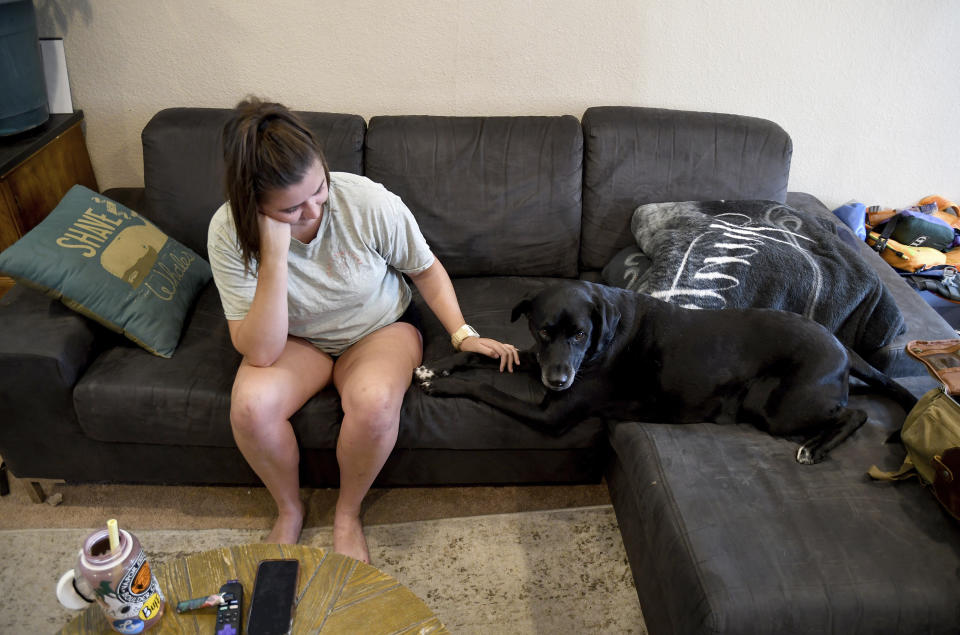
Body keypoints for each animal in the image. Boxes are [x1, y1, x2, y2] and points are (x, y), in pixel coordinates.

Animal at [414, 280, 916, 464]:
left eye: (580, 334)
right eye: (543, 330)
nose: (557, 382)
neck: (605, 337)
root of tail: (840, 344)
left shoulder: (550, 414)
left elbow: (488, 390)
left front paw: (448, 387)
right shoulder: (539, 359)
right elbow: (490, 355)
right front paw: (437, 367)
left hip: (780, 407)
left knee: (855, 413)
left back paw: (816, 447)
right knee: (853, 399)